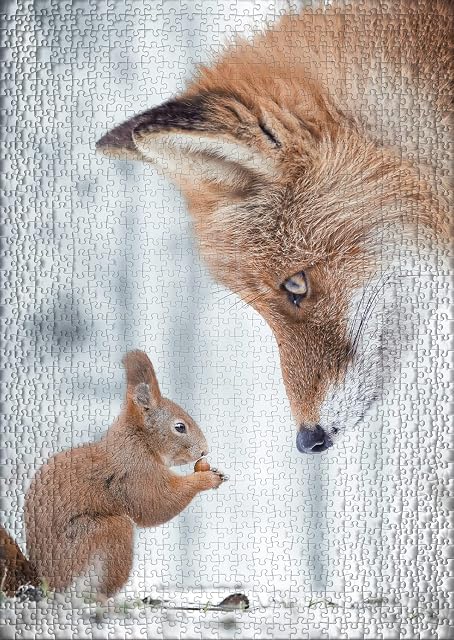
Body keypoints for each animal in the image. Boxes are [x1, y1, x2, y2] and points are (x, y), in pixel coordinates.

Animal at [0, 350, 225, 599]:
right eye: (180, 427)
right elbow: (156, 504)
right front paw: (205, 479)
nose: (204, 451)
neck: (138, 439)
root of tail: (44, 582)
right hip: (103, 535)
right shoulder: (135, 471)